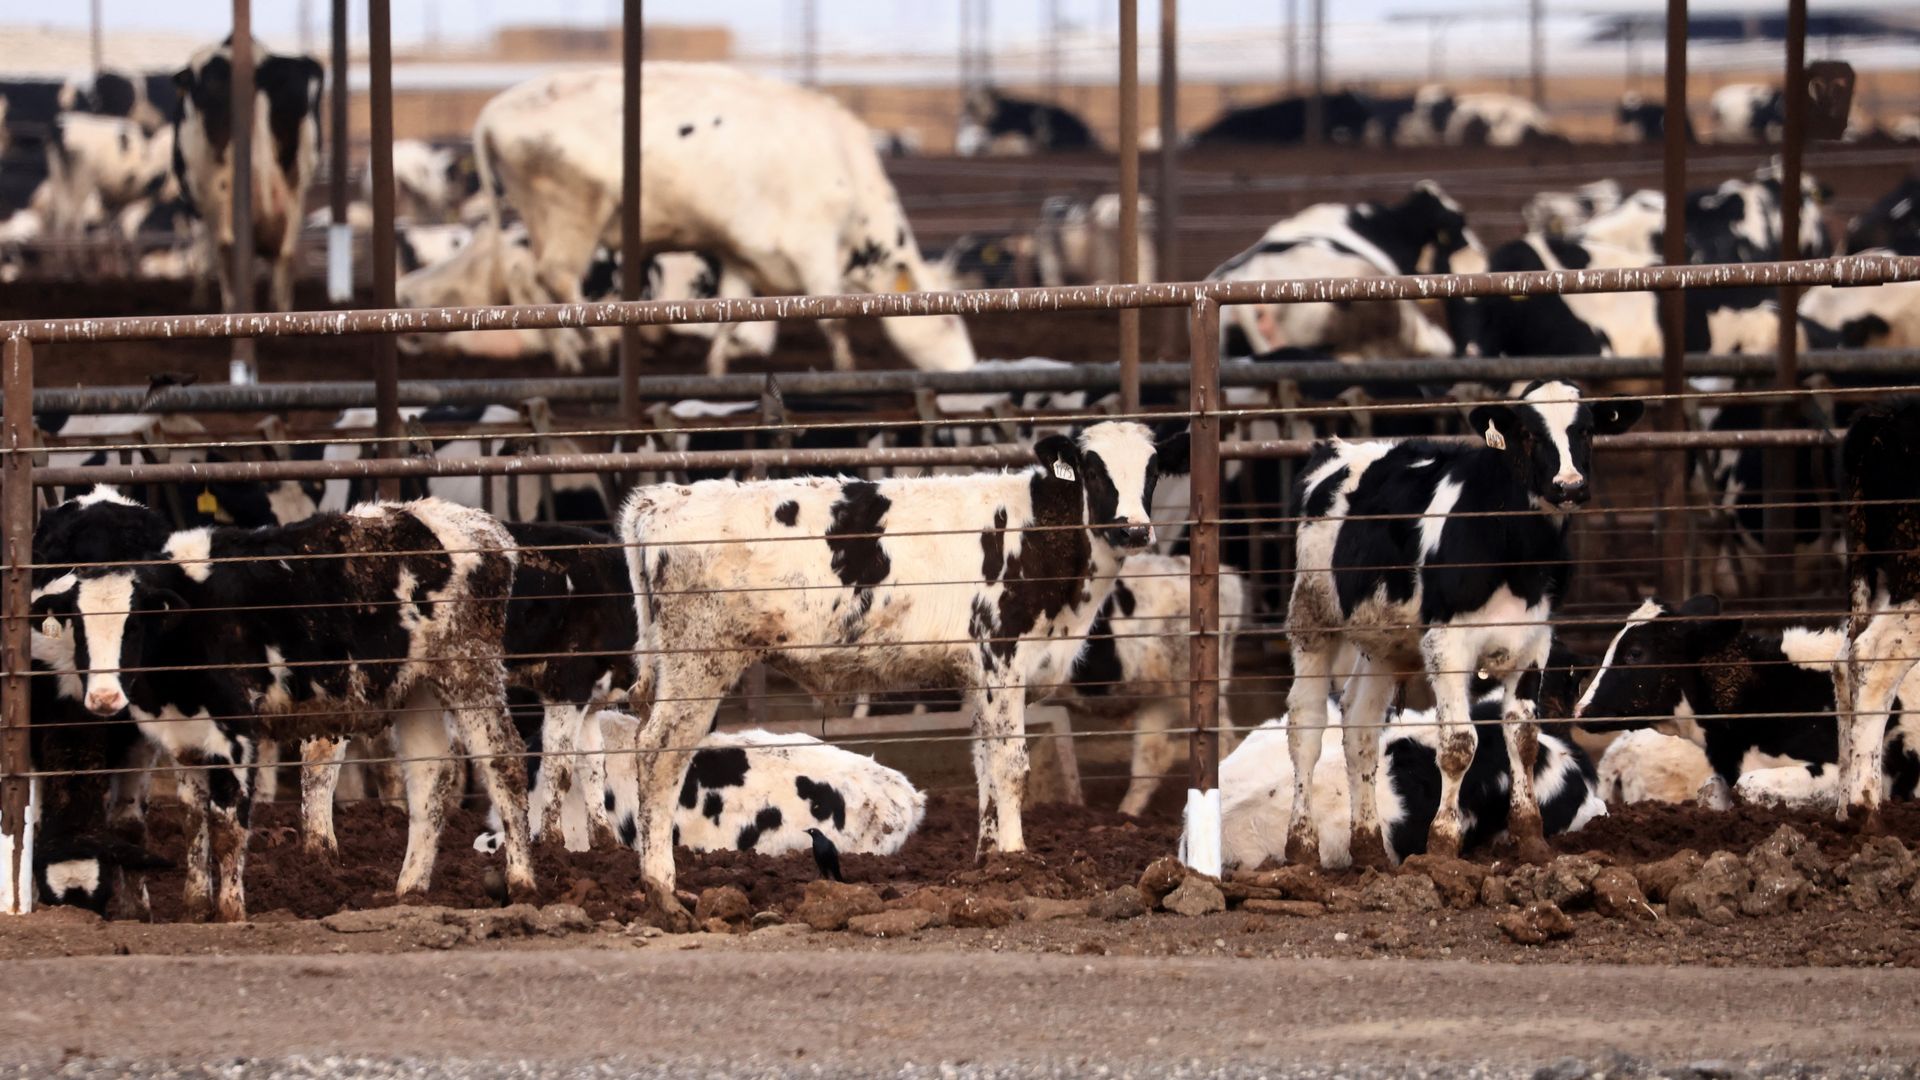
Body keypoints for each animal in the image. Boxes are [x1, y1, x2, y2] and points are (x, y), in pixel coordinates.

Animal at [28, 489, 536, 922]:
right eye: (76, 625)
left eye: (134, 624)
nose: (104, 697)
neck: (192, 620)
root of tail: (477, 524)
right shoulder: (182, 736)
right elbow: (193, 819)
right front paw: (195, 905)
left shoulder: (235, 733)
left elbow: (227, 824)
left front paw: (231, 911)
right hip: (417, 686)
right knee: (432, 774)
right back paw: (409, 889)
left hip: (469, 670)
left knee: (503, 763)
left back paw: (522, 883)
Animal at [465, 64, 973, 374]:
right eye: (948, 322)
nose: (968, 368)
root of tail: (495, 108)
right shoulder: (814, 247)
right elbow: (832, 319)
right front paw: (846, 371)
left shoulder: (738, 253)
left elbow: (732, 313)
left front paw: (715, 368)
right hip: (572, 211)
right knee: (555, 278)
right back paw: (597, 345)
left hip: (542, 218)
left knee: (533, 284)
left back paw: (570, 354)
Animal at [615, 420, 1180, 914]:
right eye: (1094, 469)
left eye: (1152, 470)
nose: (1134, 530)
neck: (1039, 532)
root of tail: (662, 500)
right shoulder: (1003, 655)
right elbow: (1010, 765)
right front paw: (1018, 860)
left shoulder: (980, 673)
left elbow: (984, 763)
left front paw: (988, 862)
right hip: (699, 663)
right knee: (659, 753)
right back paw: (661, 886)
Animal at [1283, 381, 1644, 869]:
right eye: (1528, 434)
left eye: (1585, 430)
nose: (1568, 485)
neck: (1516, 551)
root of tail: (1335, 448)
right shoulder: (1447, 643)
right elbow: (1458, 744)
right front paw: (1442, 844)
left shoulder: (1534, 640)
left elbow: (1523, 737)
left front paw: (1531, 839)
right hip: (1312, 618)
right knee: (1306, 726)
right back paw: (1301, 847)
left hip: (1383, 643)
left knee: (1360, 727)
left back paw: (1369, 846)